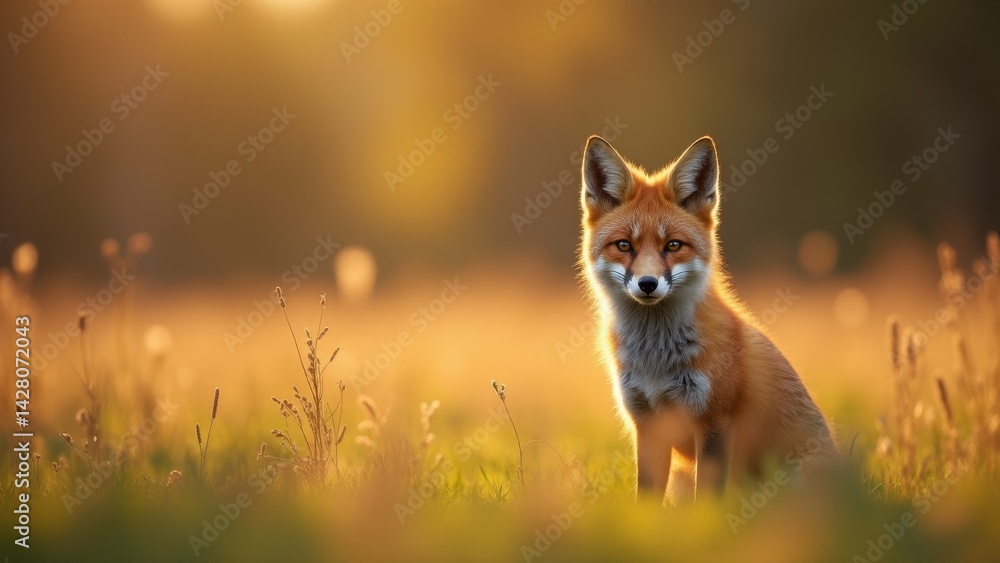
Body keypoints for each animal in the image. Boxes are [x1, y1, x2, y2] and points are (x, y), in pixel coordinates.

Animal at [579, 135, 837, 504]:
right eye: (624, 245)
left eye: (673, 245)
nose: (647, 283)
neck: (657, 361)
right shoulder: (648, 424)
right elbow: (646, 500)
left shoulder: (716, 422)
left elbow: (708, 500)